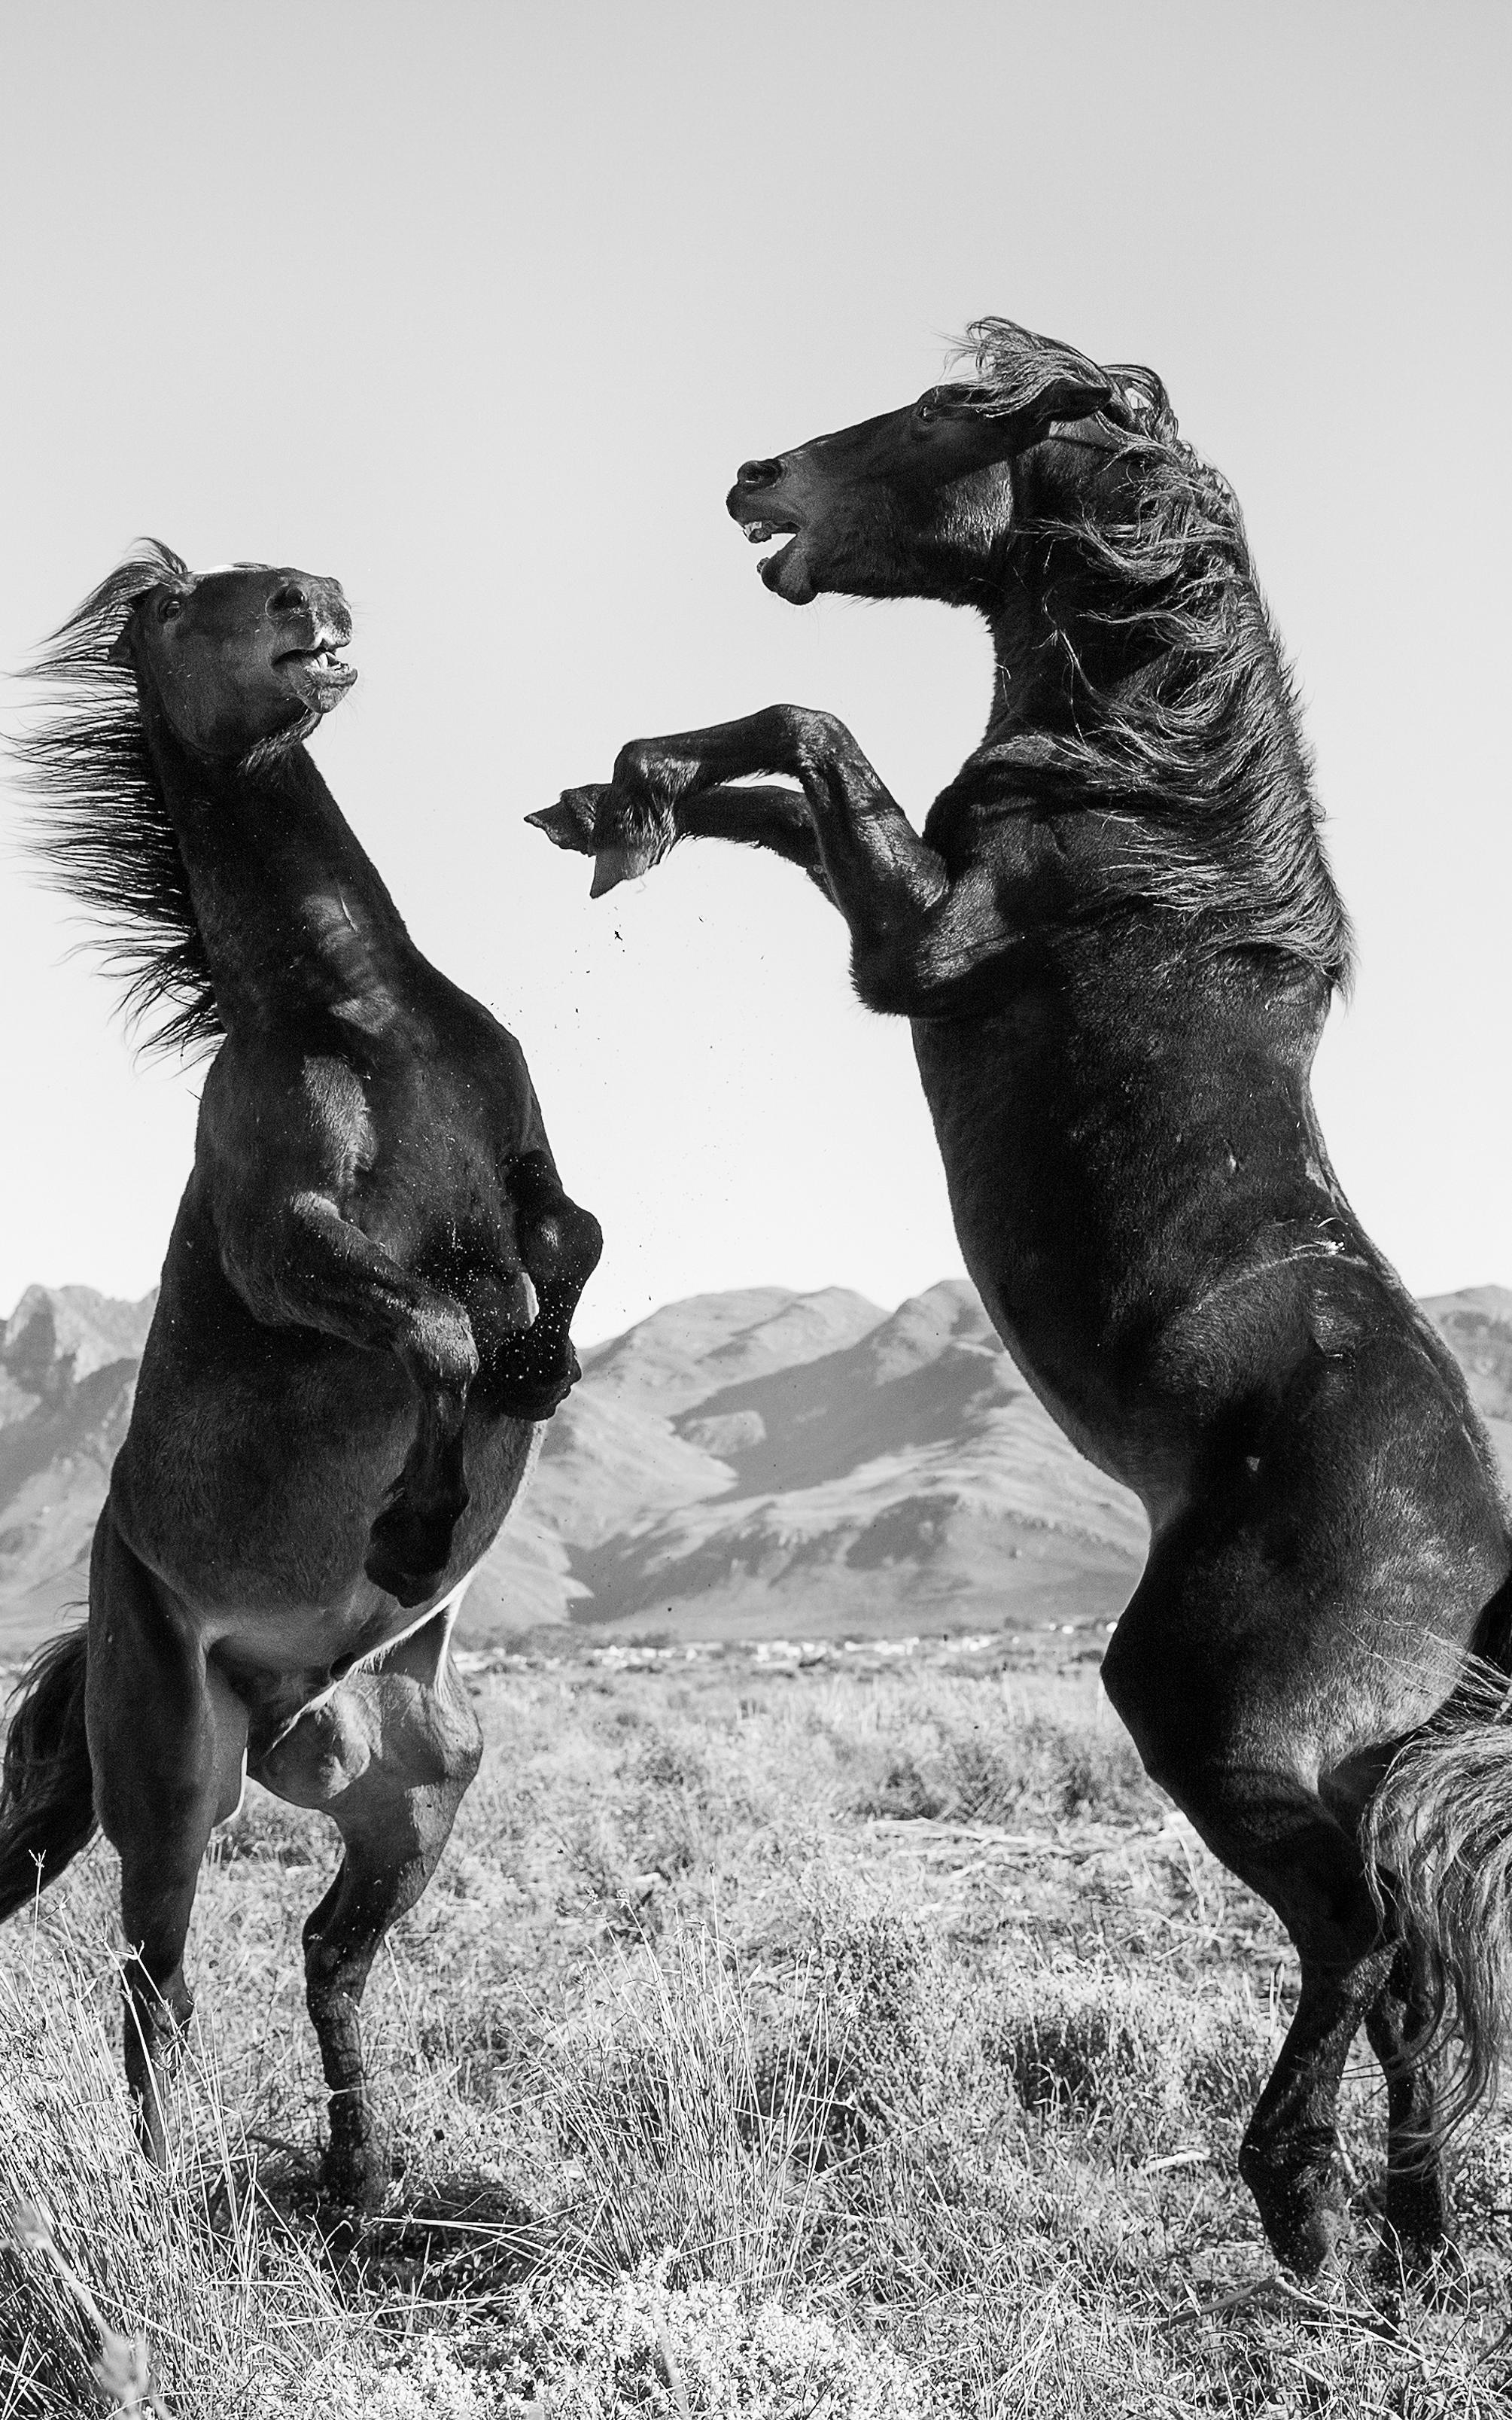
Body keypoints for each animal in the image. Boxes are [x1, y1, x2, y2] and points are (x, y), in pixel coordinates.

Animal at [0, 545, 601, 2205]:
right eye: (180, 604)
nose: (308, 598)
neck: (361, 1013)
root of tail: (284, 1719)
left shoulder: (532, 1175)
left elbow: (563, 1247)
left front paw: (543, 1365)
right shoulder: (288, 1243)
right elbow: (431, 1326)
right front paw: (410, 1519)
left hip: (417, 1786)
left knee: (330, 1956)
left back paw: (361, 2174)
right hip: (169, 1784)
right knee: (156, 1982)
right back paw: (174, 2190)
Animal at [530, 321, 1512, 2285]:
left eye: (941, 411)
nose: (752, 478)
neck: (1147, 805)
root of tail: (1473, 1562)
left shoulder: (913, 945)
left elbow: (804, 733)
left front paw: (633, 787)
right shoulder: (880, 910)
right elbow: (772, 789)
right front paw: (612, 807)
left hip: (1202, 1714)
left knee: (1359, 1933)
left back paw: (1296, 2199)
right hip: (1338, 1761)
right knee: (1409, 1973)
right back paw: (1409, 2241)